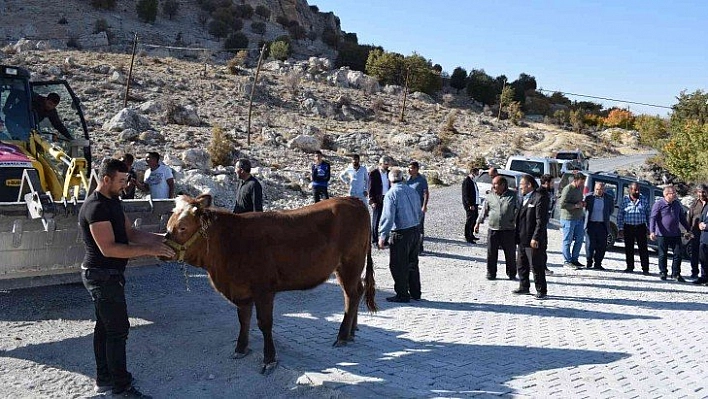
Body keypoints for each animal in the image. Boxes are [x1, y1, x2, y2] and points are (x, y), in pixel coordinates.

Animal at [165, 195, 376, 376]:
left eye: (182, 227)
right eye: (169, 224)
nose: (164, 245)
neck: (230, 242)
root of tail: (353, 199)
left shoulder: (264, 290)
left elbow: (264, 323)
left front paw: (269, 359)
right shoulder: (242, 291)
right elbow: (243, 319)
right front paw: (241, 348)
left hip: (351, 262)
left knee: (352, 294)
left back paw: (342, 336)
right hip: (346, 267)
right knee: (355, 292)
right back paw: (351, 332)